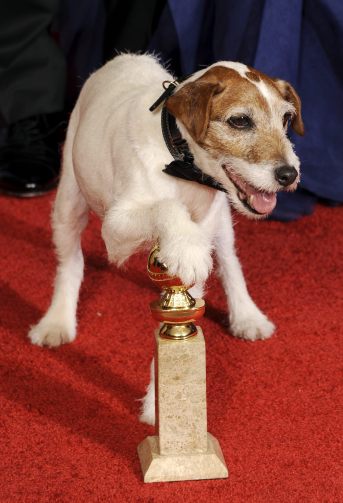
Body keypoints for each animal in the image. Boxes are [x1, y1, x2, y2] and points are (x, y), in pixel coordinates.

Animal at [28, 53, 304, 426]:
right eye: (240, 121)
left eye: (286, 118)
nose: (289, 174)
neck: (179, 159)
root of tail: (127, 57)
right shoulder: (116, 228)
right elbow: (167, 208)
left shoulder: (204, 231)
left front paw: (160, 403)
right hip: (69, 201)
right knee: (70, 261)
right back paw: (56, 321)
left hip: (222, 222)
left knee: (229, 260)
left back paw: (247, 315)